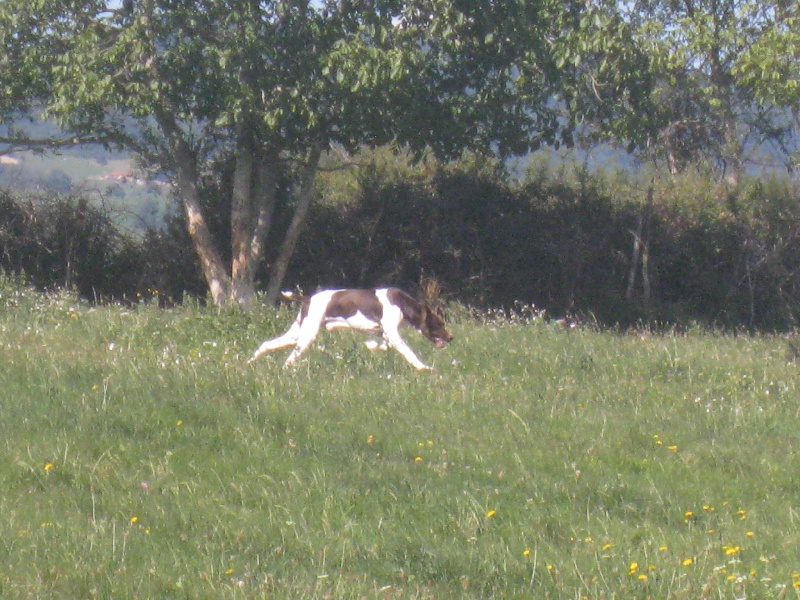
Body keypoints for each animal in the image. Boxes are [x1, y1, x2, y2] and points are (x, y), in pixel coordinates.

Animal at [247, 288, 454, 368]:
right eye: (439, 324)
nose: (451, 338)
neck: (402, 303)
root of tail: (308, 299)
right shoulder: (393, 335)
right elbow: (409, 353)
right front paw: (423, 367)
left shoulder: (382, 334)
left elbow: (378, 344)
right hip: (307, 336)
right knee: (290, 358)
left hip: (296, 334)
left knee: (267, 344)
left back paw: (249, 362)